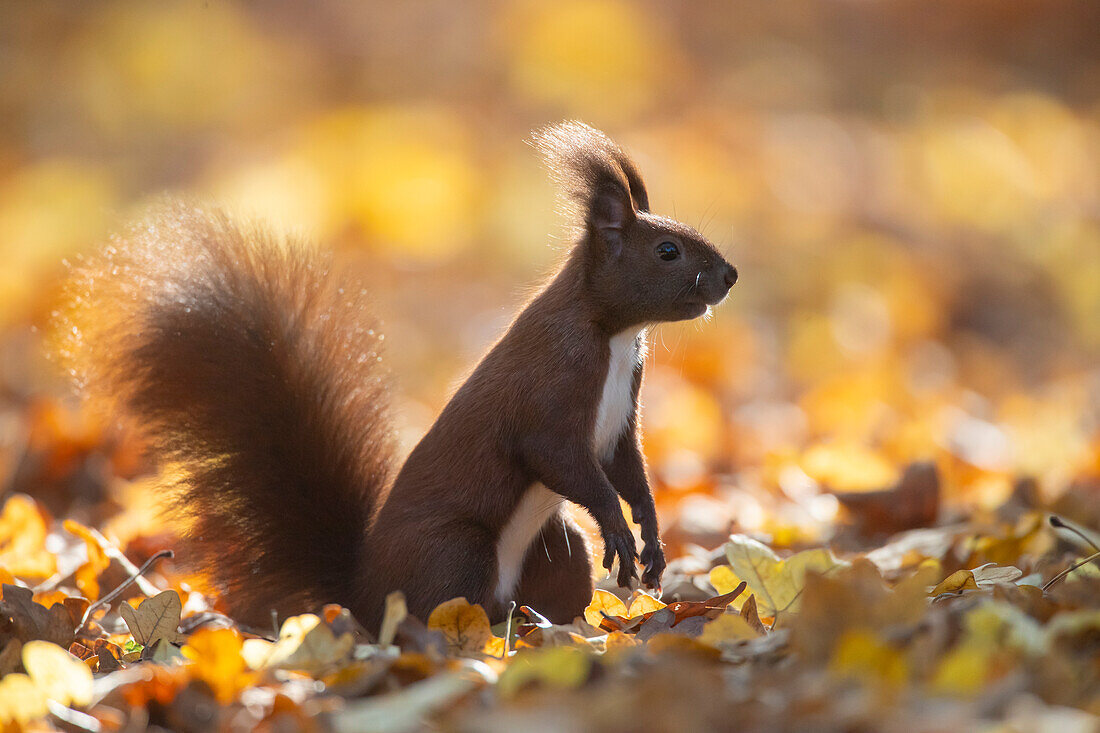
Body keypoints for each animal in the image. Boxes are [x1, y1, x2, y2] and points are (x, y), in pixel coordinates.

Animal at [58, 122, 730, 629]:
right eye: (667, 251)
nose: (730, 276)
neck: (613, 335)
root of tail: (361, 596)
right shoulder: (551, 390)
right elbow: (560, 459)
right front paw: (618, 527)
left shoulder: (619, 417)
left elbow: (628, 469)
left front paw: (651, 537)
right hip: (456, 551)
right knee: (442, 609)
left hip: (554, 551)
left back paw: (551, 628)